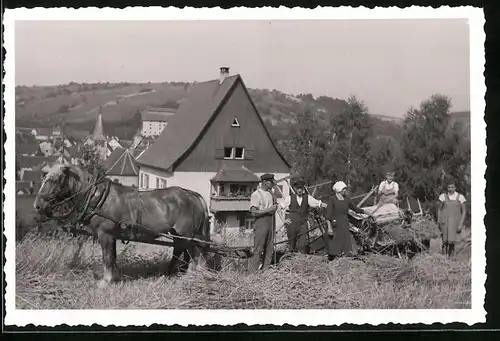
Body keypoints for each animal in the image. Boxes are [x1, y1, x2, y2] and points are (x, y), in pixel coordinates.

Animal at [33, 163, 211, 286]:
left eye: (55, 180)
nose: (38, 205)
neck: (98, 198)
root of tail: (192, 195)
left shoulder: (105, 234)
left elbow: (107, 257)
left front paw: (106, 281)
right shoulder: (111, 236)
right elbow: (112, 257)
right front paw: (114, 278)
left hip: (188, 234)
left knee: (195, 254)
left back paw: (192, 275)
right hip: (179, 233)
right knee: (181, 250)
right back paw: (174, 273)